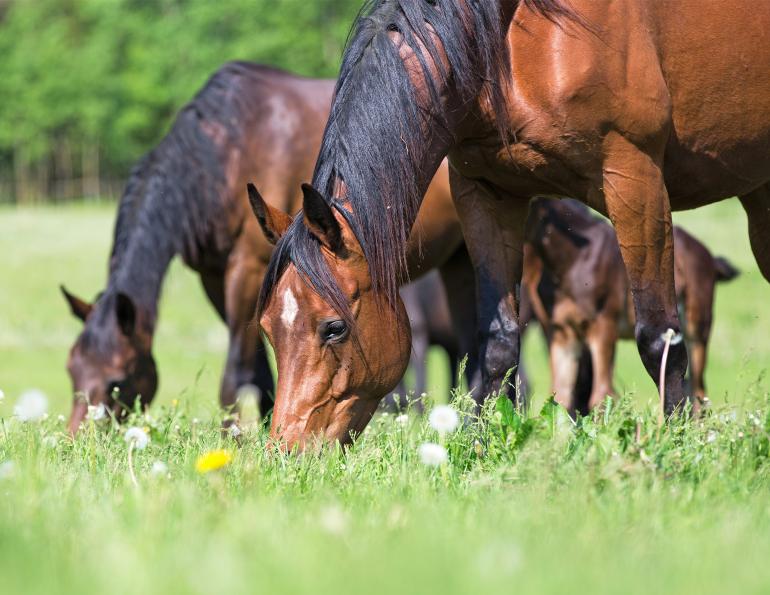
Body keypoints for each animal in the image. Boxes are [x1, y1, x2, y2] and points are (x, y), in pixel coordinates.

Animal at [523, 198, 739, 416]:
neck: (573, 260)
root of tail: (709, 257)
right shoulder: (562, 333)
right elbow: (560, 397)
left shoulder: (604, 327)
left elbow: (602, 394)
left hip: (698, 328)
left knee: (699, 391)